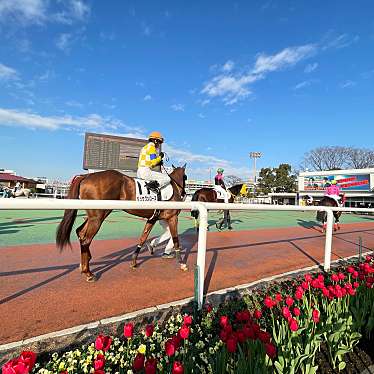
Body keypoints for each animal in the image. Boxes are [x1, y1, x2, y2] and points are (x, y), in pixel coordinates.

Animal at [55, 166, 187, 280]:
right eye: (185, 177)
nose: (185, 194)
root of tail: (86, 176)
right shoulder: (173, 217)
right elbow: (175, 238)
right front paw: (181, 263)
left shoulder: (153, 218)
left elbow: (143, 237)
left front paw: (135, 260)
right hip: (98, 216)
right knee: (86, 239)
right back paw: (88, 272)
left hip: (96, 215)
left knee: (80, 232)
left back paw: (84, 263)